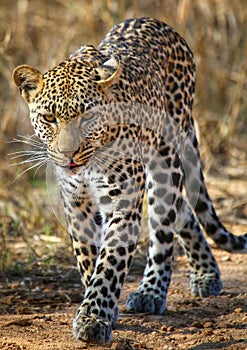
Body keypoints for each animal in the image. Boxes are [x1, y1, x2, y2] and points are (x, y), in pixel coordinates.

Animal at [12, 17, 246, 344]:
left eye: (88, 117)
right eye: (49, 118)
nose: (68, 154)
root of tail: (154, 21)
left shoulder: (122, 202)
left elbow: (110, 261)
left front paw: (93, 318)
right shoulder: (75, 203)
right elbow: (88, 258)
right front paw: (103, 311)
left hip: (166, 161)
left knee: (164, 227)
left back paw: (152, 291)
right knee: (183, 211)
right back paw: (206, 273)